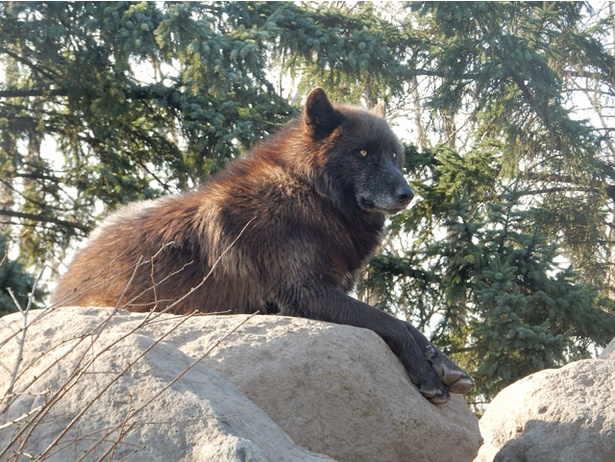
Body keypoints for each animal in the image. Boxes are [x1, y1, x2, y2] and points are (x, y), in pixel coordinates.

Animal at [54, 87, 476, 404]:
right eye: (362, 153)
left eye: (393, 156)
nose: (408, 194)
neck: (310, 194)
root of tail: (63, 283)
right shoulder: (306, 293)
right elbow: (394, 322)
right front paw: (427, 372)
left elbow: (406, 325)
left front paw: (444, 363)